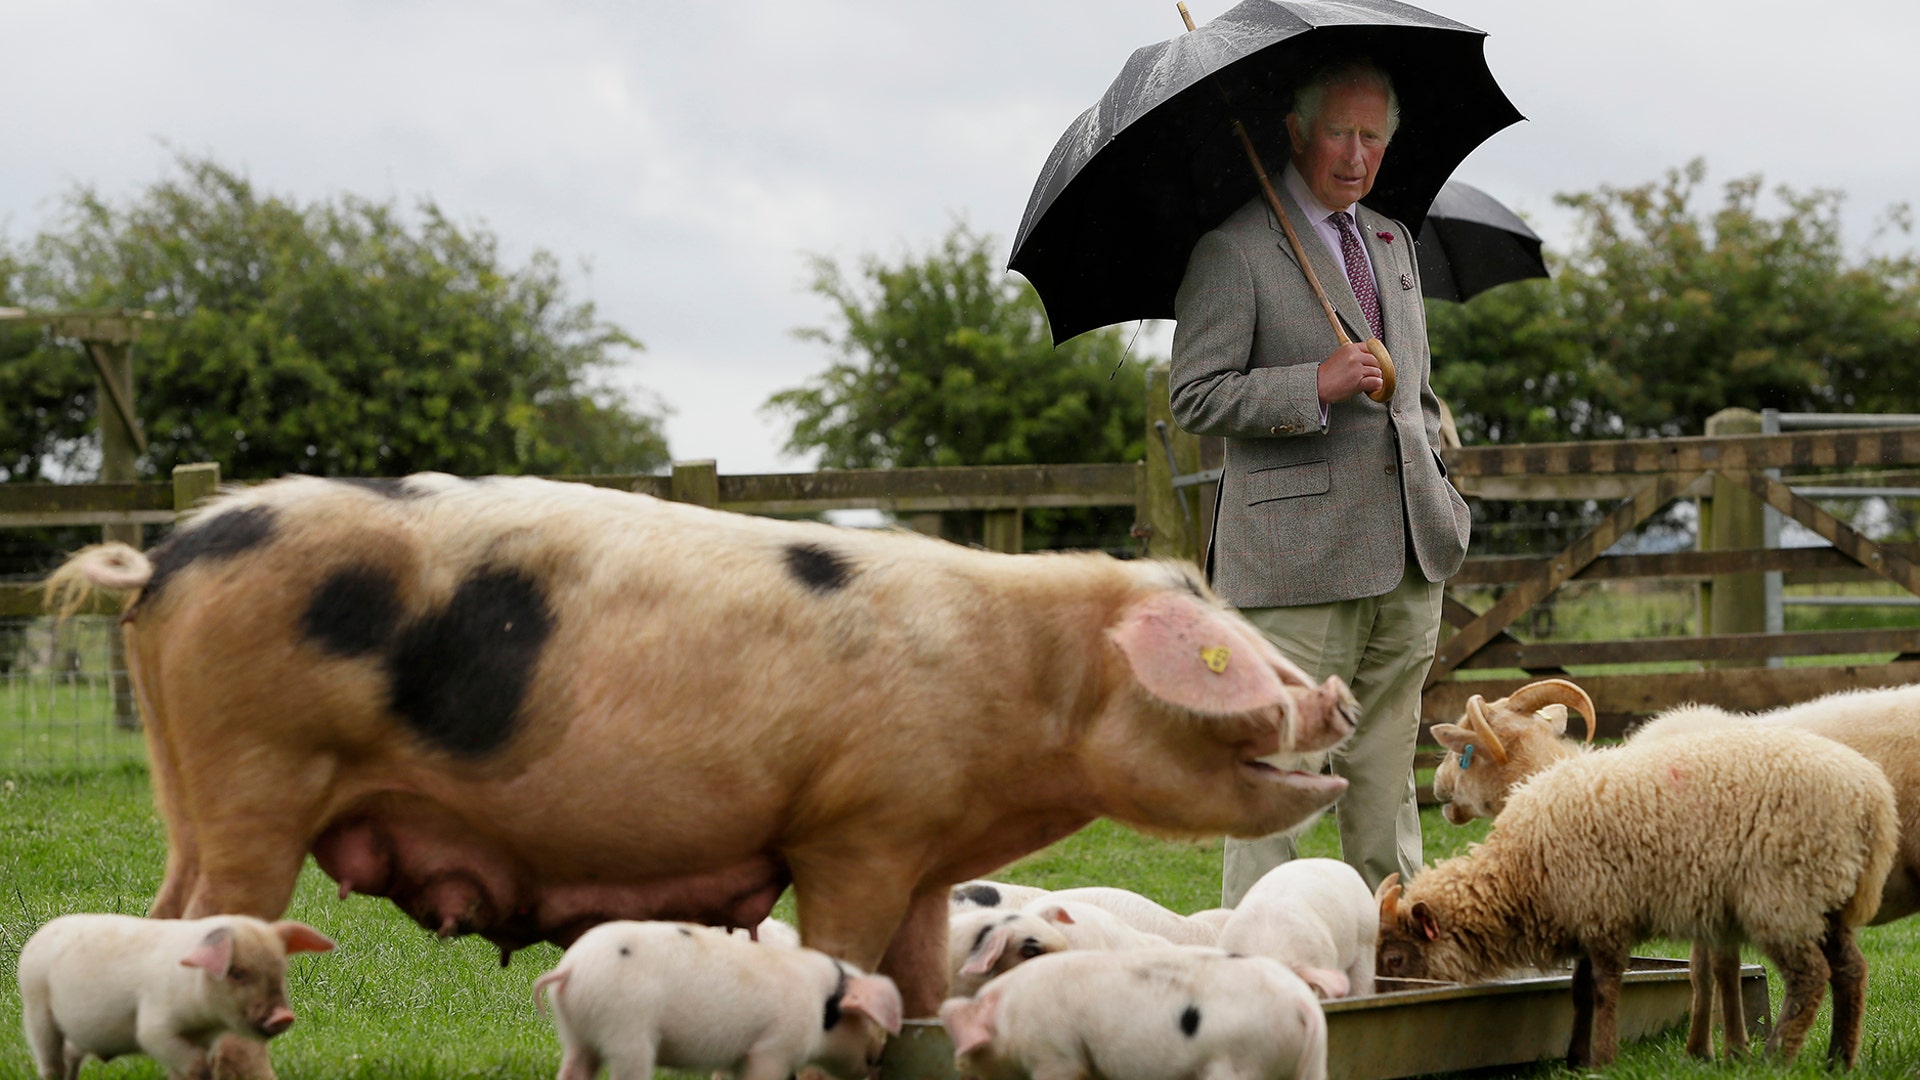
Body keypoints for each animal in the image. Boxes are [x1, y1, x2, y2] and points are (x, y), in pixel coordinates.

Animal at [17, 913, 333, 1080]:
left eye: (280, 969)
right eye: (237, 973)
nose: (283, 1016)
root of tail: (41, 933)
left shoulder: (205, 1039)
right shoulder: (154, 1026)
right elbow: (191, 1062)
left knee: (71, 1054)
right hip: (36, 1007)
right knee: (51, 1062)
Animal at [45, 473, 1356, 1018]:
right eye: (1235, 660)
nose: (1338, 696)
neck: (1021, 680)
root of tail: (165, 558)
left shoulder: (928, 856)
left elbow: (925, 986)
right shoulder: (856, 830)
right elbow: (846, 954)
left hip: (191, 792)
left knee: (156, 919)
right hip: (257, 777)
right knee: (207, 928)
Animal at [940, 946, 1327, 1080]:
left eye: (970, 1052)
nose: (961, 1071)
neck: (1007, 1016)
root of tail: (1304, 1003)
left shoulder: (1055, 1053)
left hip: (1241, 1061)